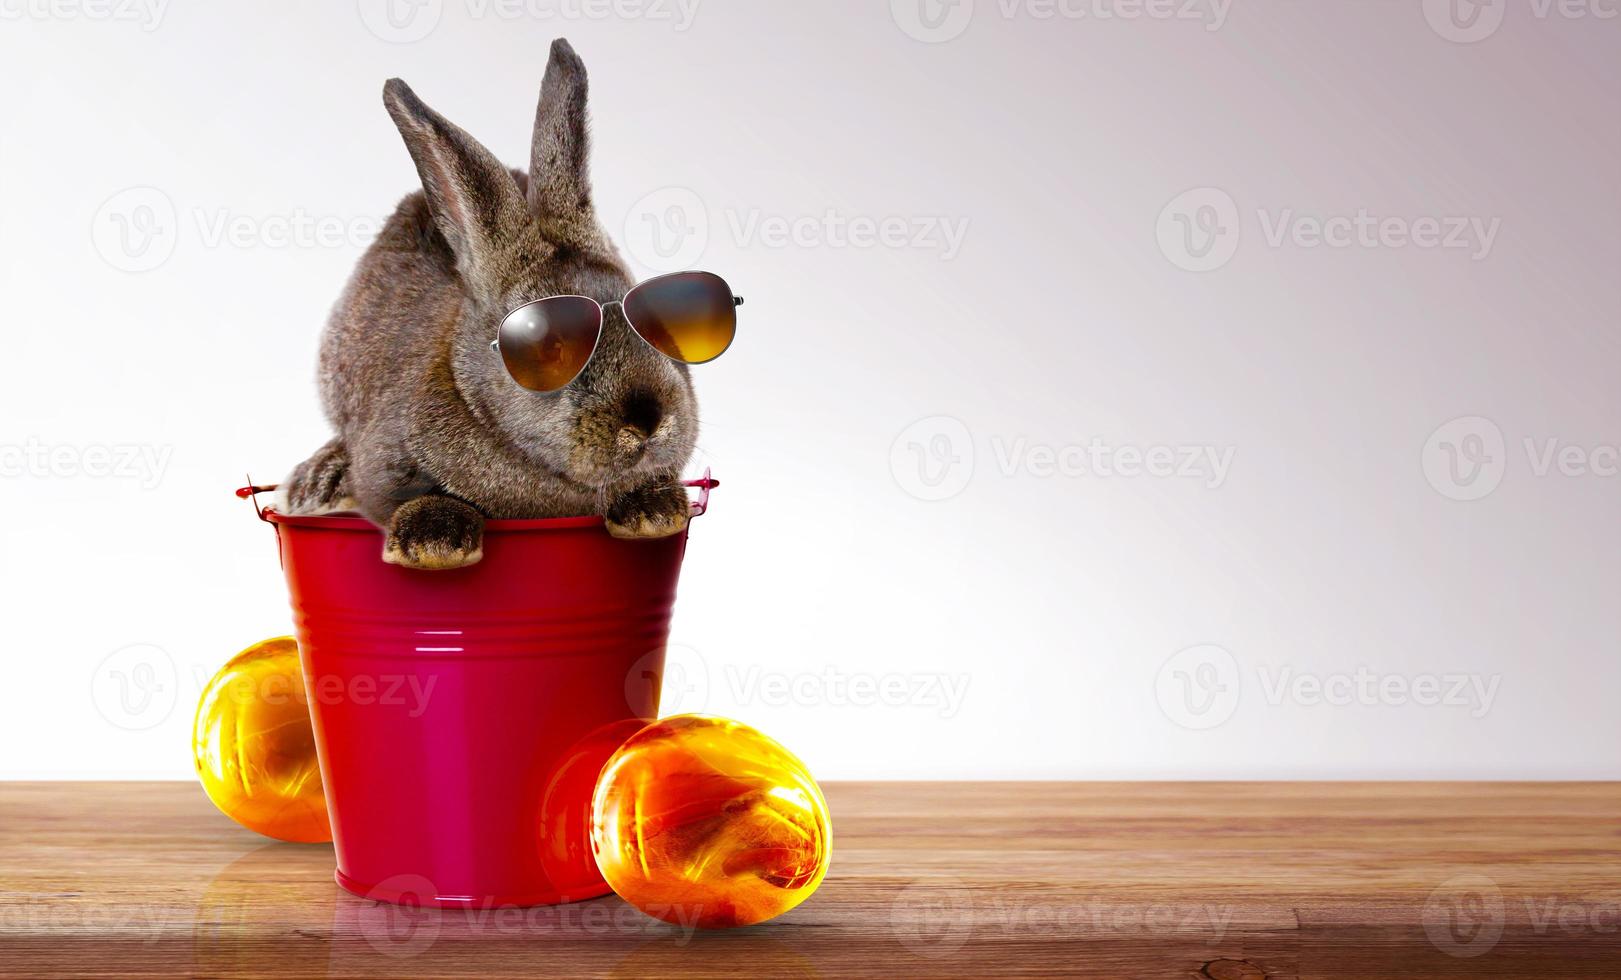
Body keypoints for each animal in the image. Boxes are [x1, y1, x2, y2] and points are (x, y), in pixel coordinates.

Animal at [282, 40, 700, 573]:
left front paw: (654, 512)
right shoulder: (383, 461)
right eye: (546, 346)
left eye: (657, 324)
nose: (647, 422)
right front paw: (435, 545)